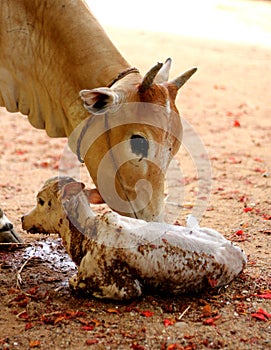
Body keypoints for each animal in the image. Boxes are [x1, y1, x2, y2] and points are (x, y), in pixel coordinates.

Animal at [22, 178, 248, 300]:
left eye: (41, 201)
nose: (23, 218)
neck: (89, 233)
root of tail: (239, 253)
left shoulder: (123, 287)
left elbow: (72, 282)